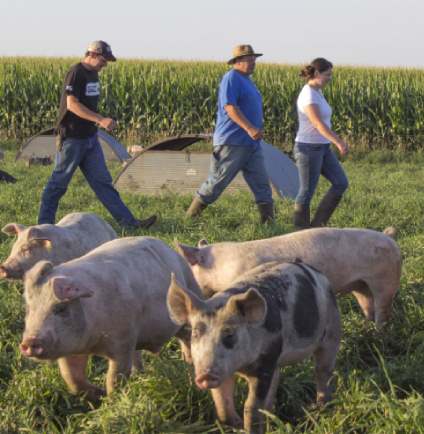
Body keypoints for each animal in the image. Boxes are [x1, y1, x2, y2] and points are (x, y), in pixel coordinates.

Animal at [20, 237, 203, 400]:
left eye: (60, 308)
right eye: (28, 309)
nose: (29, 341)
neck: (93, 343)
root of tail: (172, 251)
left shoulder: (123, 341)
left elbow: (114, 378)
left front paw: (111, 400)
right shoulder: (70, 348)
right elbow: (71, 377)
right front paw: (99, 395)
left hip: (189, 301)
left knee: (187, 343)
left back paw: (188, 367)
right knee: (138, 354)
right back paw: (140, 374)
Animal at [175, 227, 400, 326]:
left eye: (190, 270)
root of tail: (388, 235)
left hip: (386, 280)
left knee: (384, 310)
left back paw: (379, 334)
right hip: (361, 285)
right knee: (368, 305)